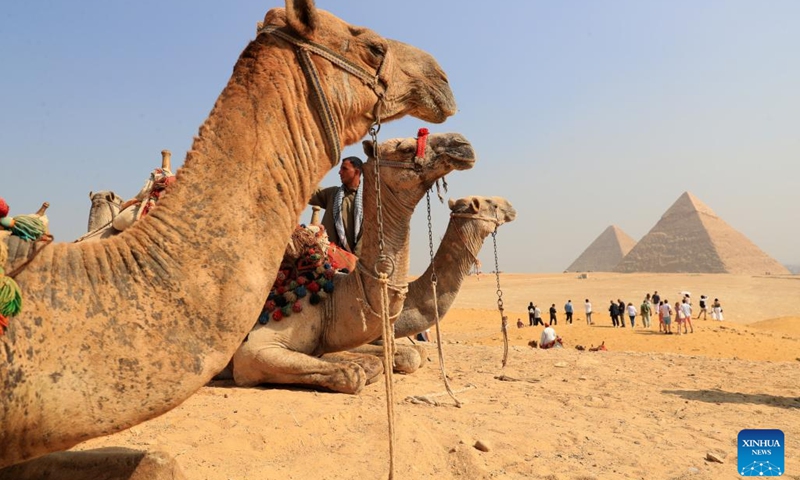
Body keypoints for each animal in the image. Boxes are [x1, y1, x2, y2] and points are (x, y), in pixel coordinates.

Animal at [228, 132, 476, 394]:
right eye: (406, 148)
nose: (461, 144)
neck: (329, 297)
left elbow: (386, 360)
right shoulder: (253, 350)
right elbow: (355, 373)